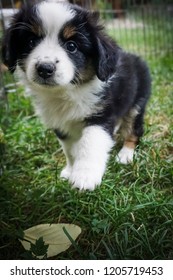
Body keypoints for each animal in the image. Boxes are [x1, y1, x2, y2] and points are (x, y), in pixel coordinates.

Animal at [2, 0, 151, 190]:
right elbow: (69, 151)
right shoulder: (60, 124)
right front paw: (70, 171)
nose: (45, 68)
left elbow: (90, 143)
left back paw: (125, 154)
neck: (67, 91)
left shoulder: (100, 115)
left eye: (71, 46)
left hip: (137, 103)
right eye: (30, 41)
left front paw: (84, 177)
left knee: (135, 130)